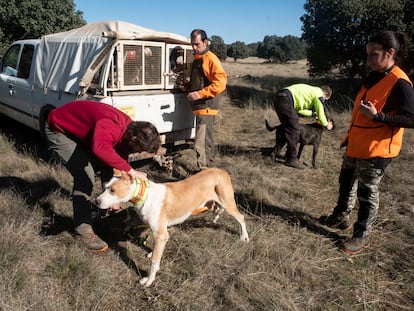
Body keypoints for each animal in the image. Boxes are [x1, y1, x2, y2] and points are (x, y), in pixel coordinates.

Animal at [96, 168, 249, 288]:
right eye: (105, 187)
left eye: (113, 190)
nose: (97, 201)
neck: (144, 195)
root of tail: (222, 171)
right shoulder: (155, 230)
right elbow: (151, 247)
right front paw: (151, 252)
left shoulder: (161, 235)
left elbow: (154, 262)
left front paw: (149, 280)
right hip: (211, 203)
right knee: (217, 210)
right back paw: (214, 220)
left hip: (228, 203)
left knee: (241, 217)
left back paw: (244, 237)